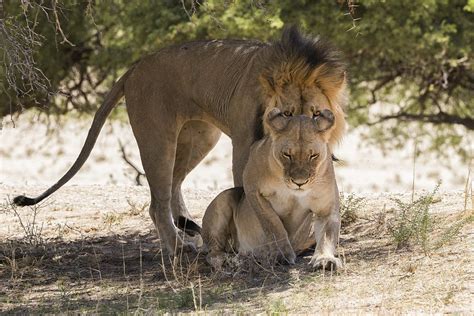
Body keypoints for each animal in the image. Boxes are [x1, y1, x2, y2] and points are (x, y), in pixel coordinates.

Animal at [201, 107, 340, 268]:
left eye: (313, 156)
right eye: (287, 155)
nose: (299, 182)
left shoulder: (326, 207)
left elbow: (327, 235)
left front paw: (325, 259)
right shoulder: (251, 186)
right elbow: (273, 224)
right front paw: (282, 255)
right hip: (223, 201)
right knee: (212, 251)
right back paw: (226, 259)